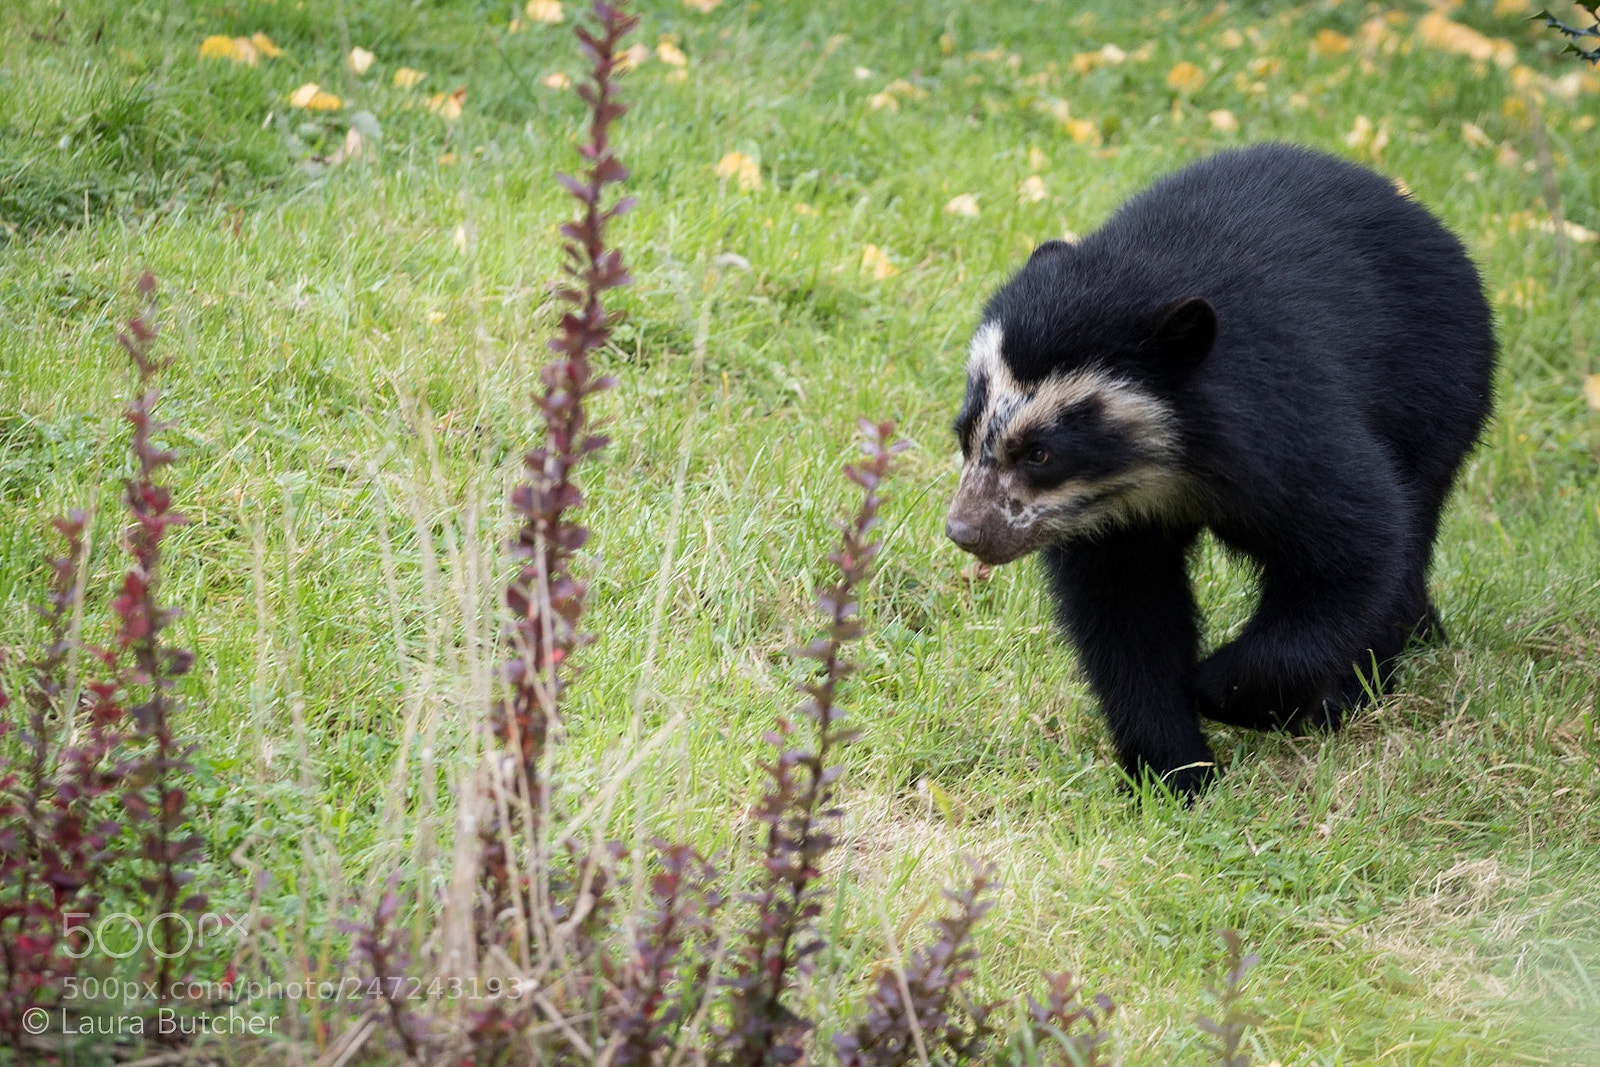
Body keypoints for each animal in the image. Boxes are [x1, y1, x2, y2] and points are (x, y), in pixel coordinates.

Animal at [944, 143, 1496, 798]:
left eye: (1041, 453)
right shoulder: (1114, 526)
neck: (1168, 473)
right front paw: (1171, 773)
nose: (965, 531)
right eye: (963, 433)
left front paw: (1223, 690)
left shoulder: (1287, 430)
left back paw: (1365, 682)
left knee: (1410, 530)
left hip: (1437, 395)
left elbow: (1358, 542)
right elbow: (1127, 613)